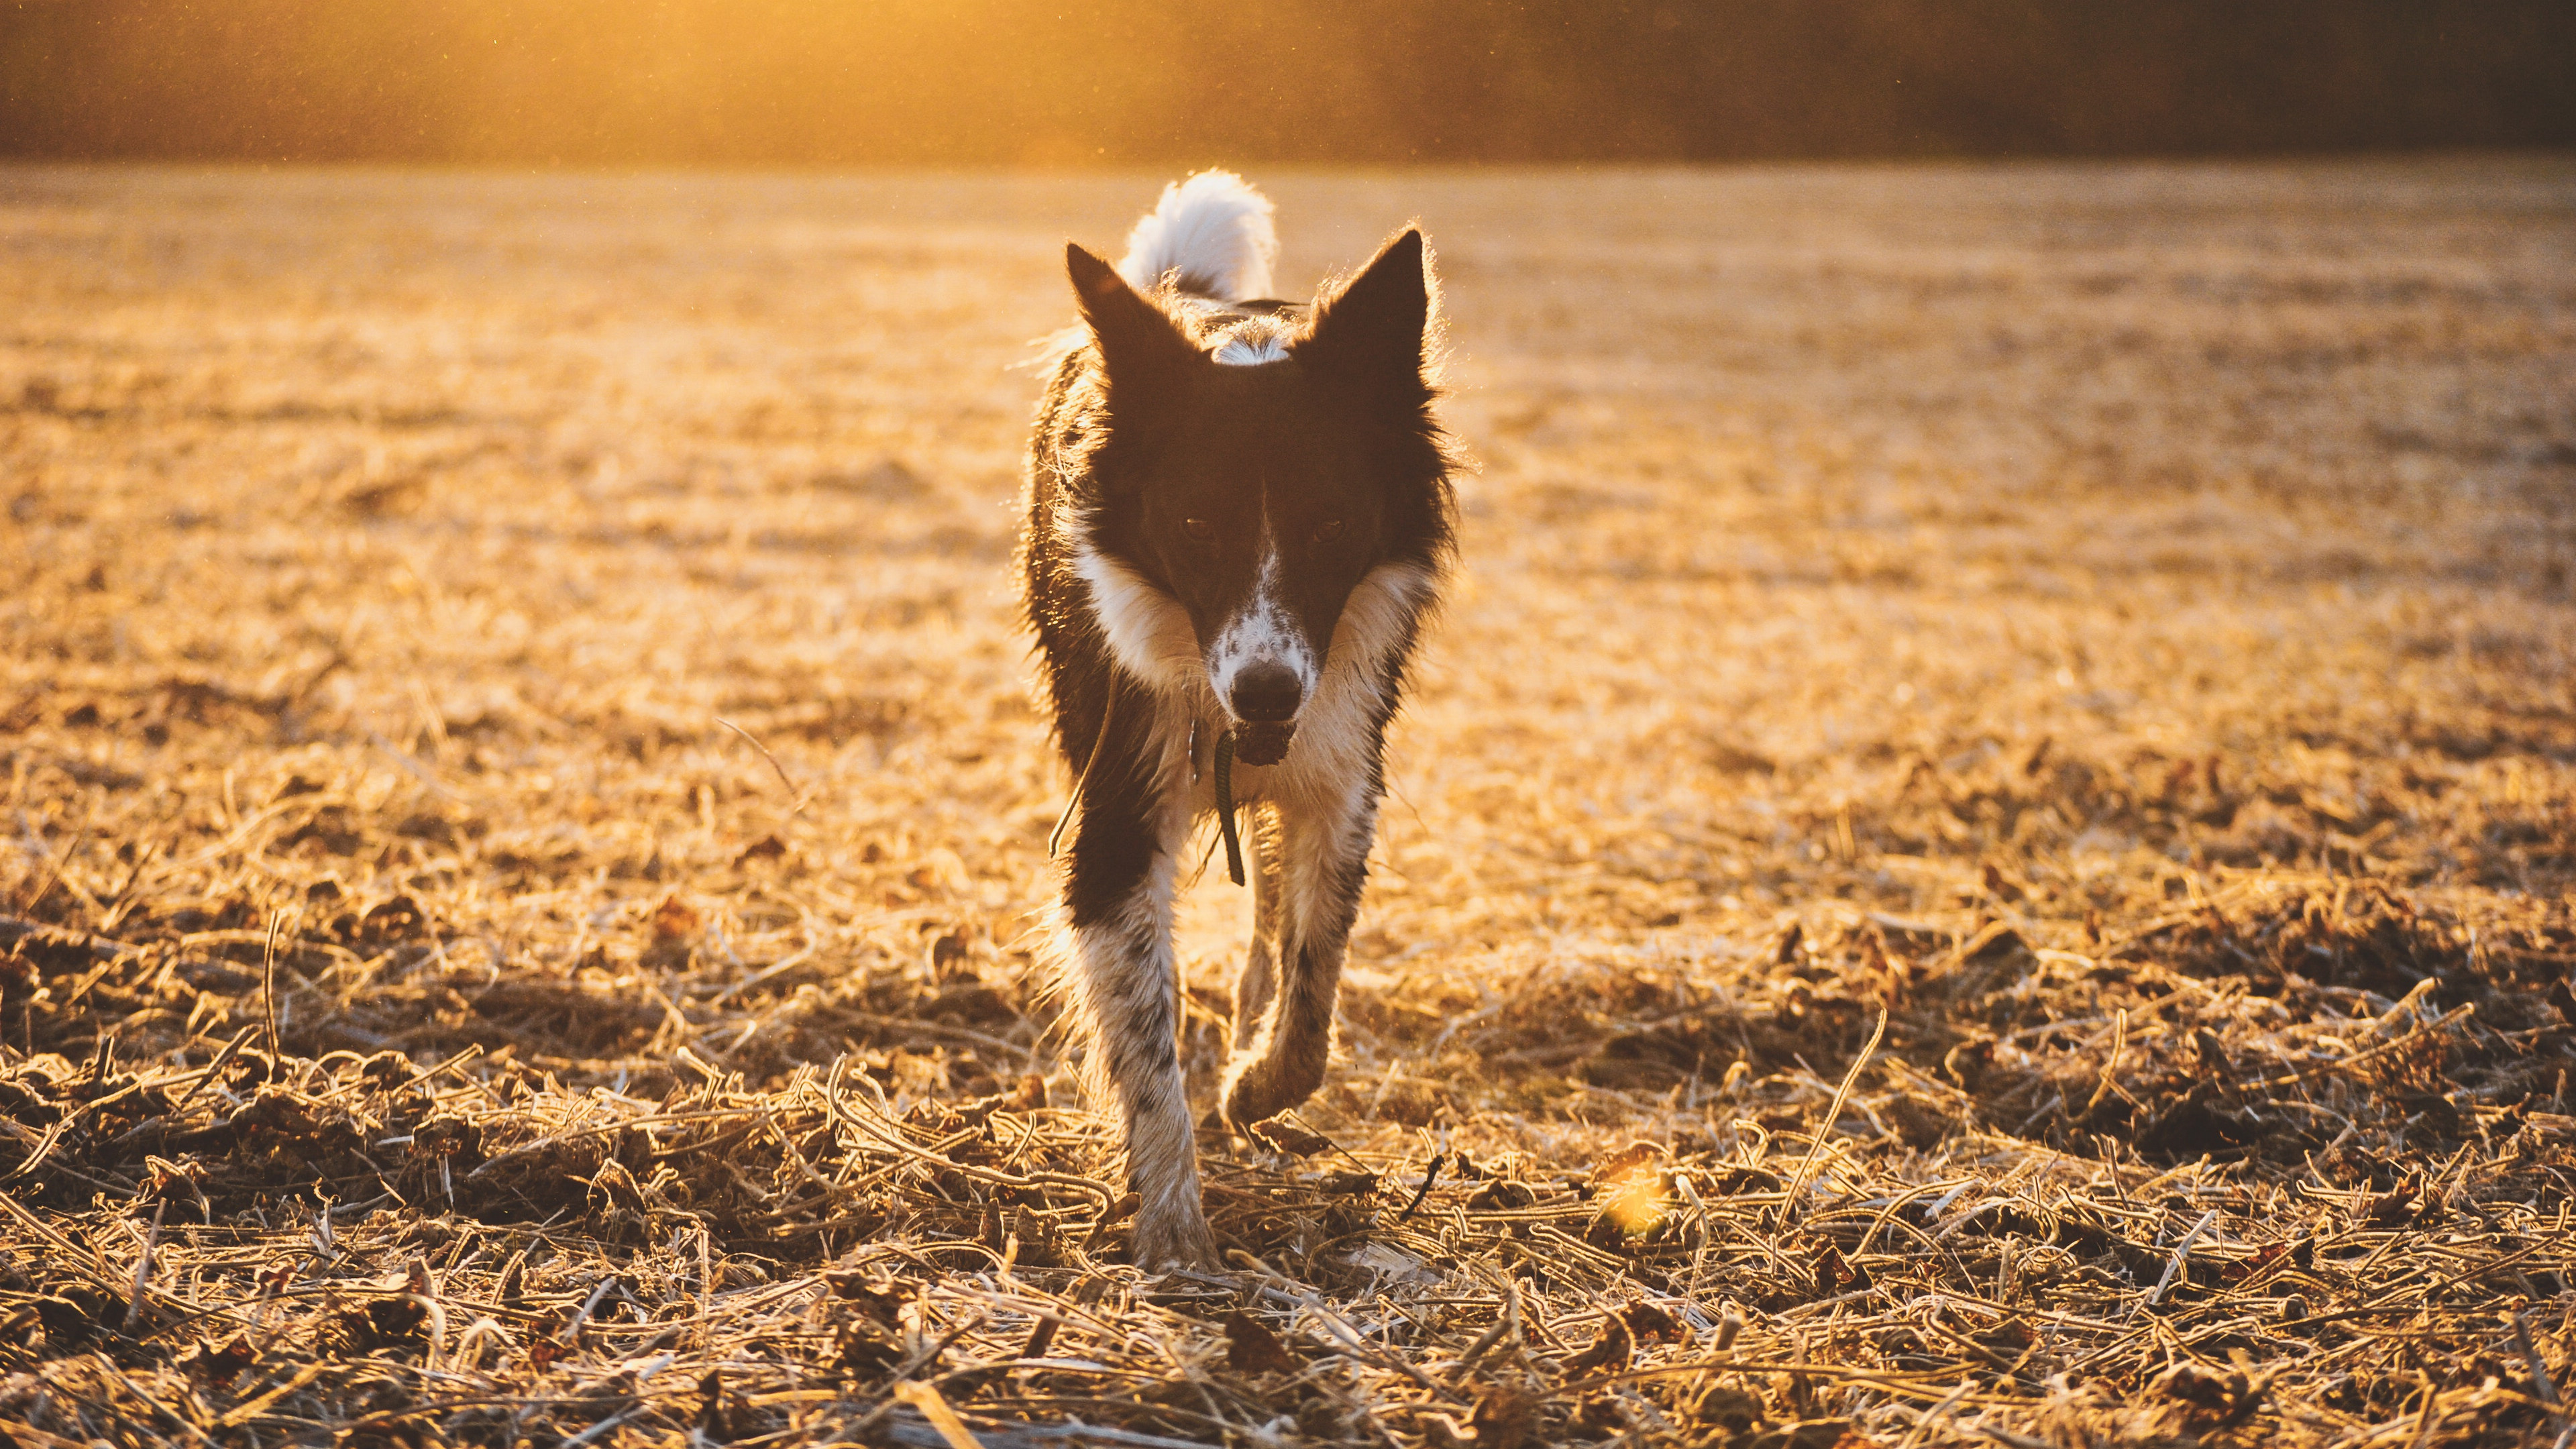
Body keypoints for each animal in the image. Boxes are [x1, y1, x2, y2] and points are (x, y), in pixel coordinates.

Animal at [1030, 171, 1473, 1263]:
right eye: (1195, 526)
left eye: (1332, 526)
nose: (1267, 693)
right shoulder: (1116, 817)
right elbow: (1145, 1044)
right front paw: (1175, 1237)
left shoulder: (1341, 778)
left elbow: (1314, 975)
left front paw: (1257, 1085)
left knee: (1273, 921)